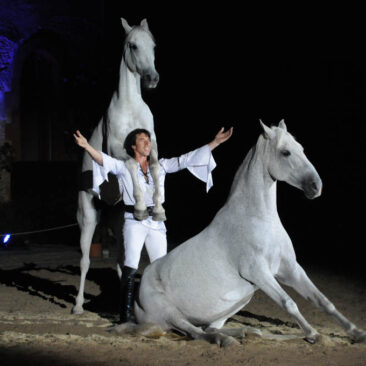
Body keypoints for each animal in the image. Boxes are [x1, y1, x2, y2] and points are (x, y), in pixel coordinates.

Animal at [114, 120, 366, 346]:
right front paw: (314, 334)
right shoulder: (259, 272)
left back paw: (247, 333)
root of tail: (137, 299)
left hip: (237, 302)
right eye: (285, 152)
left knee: (209, 328)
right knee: (195, 332)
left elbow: (323, 301)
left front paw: (357, 333)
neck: (259, 219)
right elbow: (289, 303)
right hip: (171, 313)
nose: (316, 186)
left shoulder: (290, 269)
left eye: (301, 149)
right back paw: (226, 340)